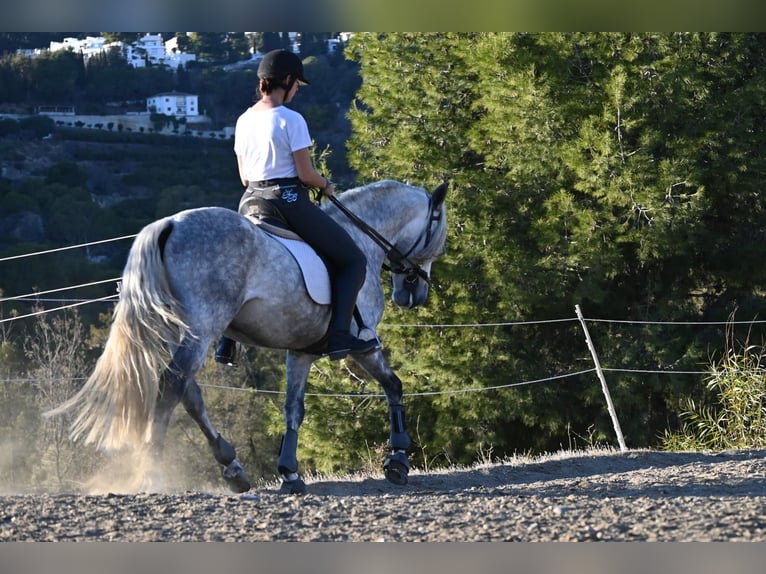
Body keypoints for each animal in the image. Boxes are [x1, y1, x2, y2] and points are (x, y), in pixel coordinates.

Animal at [48, 180, 450, 496]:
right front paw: (398, 460)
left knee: (189, 393)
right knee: (170, 389)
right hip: (201, 329)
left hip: (182, 332)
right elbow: (394, 385)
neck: (362, 239)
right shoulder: (362, 347)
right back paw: (152, 471)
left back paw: (232, 467)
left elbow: (293, 408)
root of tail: (169, 224)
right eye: (441, 231)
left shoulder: (301, 351)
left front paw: (289, 474)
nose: (413, 295)